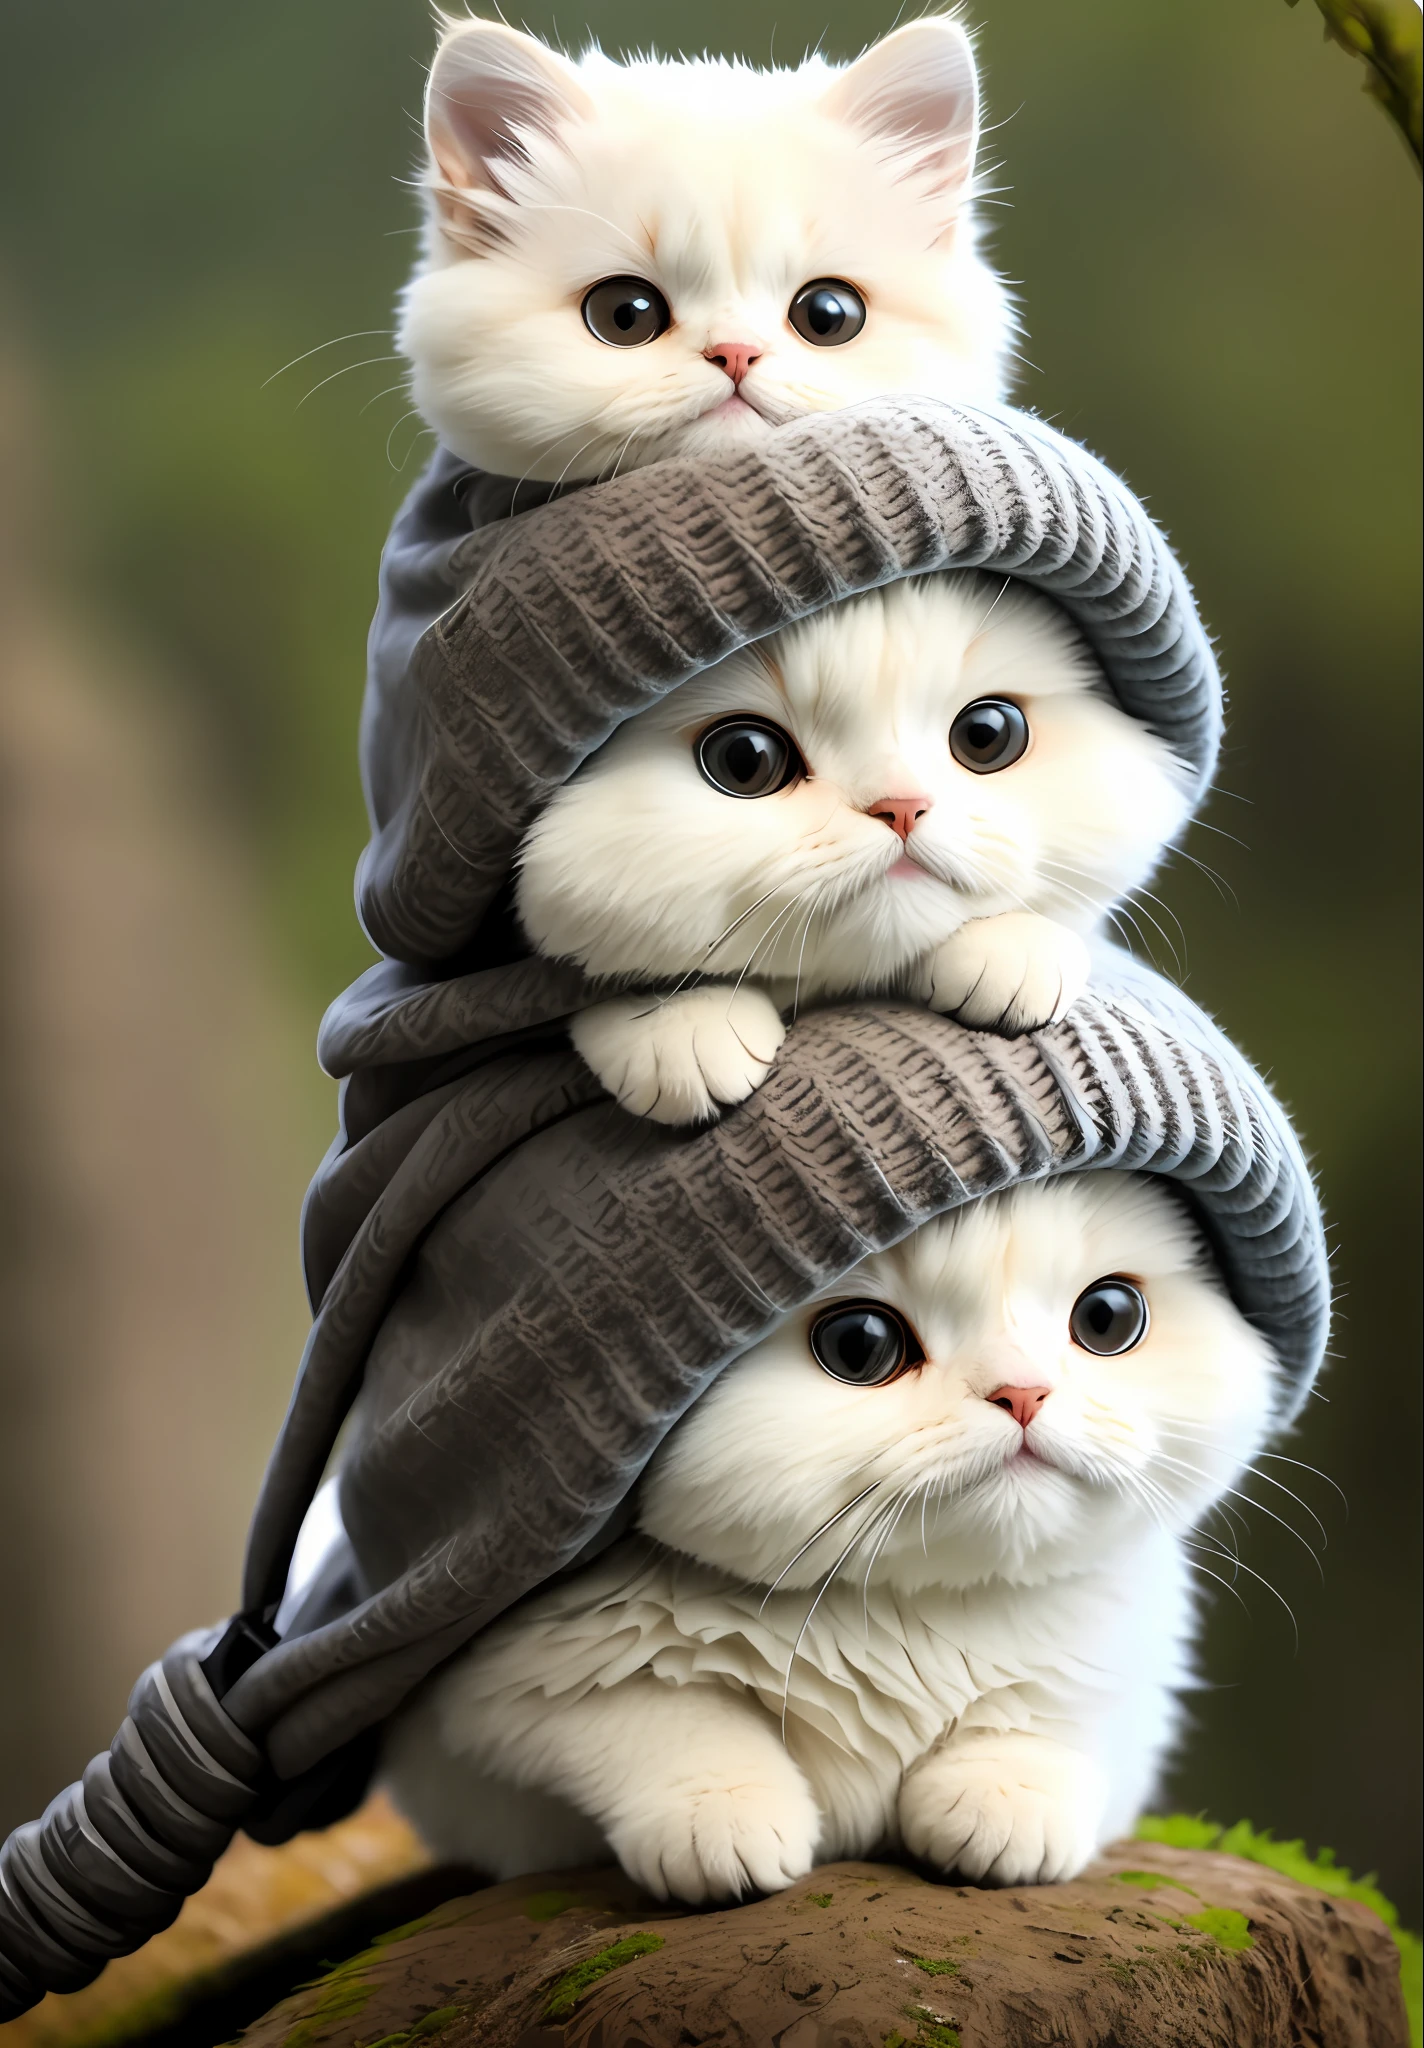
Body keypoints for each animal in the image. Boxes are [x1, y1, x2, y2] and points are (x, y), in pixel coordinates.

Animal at [385, 1171, 1278, 1900]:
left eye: (1106, 1318)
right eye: (860, 1345)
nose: (1023, 1392)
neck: (902, 1613)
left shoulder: (1119, 1679)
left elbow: (1047, 1723)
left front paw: (1001, 1803)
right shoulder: (515, 1686)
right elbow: (666, 1717)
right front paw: (724, 1817)